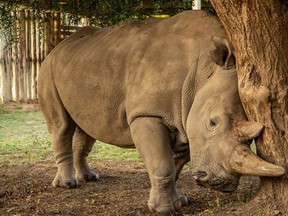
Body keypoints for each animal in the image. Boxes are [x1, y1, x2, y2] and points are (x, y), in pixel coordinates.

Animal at [37, 10, 284, 214]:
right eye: (213, 122)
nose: (219, 183)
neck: (204, 69)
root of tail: (58, 46)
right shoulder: (147, 114)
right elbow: (161, 162)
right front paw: (165, 209)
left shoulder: (185, 118)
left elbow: (175, 165)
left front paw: (180, 202)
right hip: (47, 68)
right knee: (61, 126)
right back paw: (67, 185)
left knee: (87, 128)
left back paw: (89, 177)